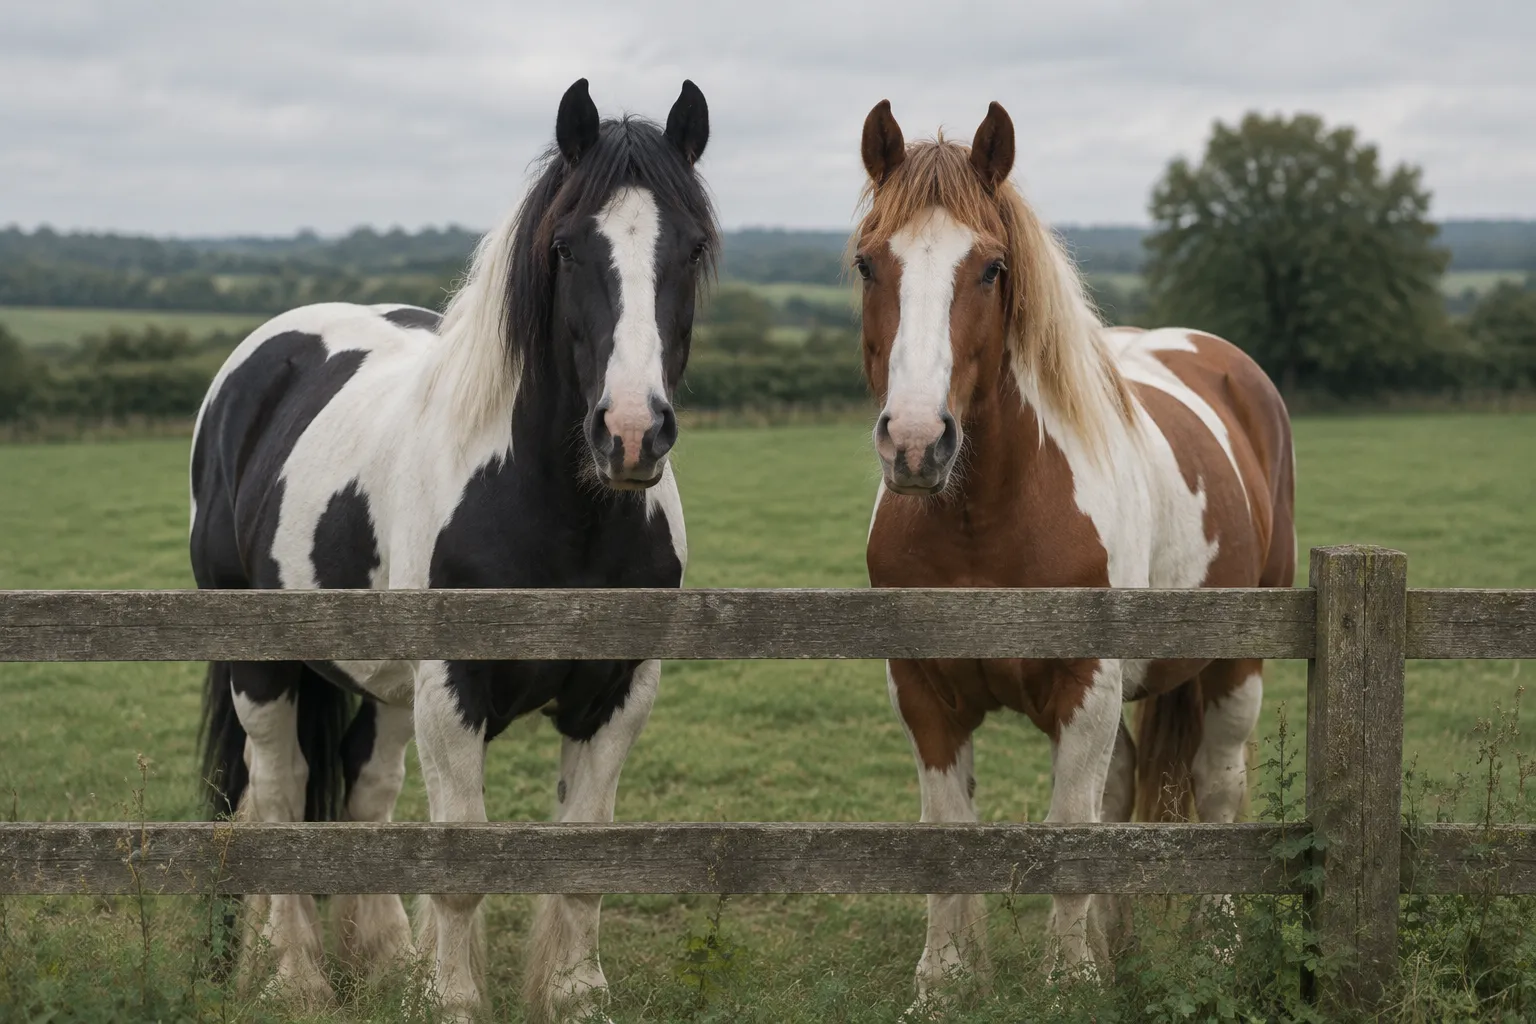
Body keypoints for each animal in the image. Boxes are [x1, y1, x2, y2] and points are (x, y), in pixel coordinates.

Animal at [191, 78, 716, 1021]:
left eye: (690, 248)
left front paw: (571, 996)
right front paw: (456, 1001)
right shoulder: (452, 691)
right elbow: (461, 864)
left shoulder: (620, 691)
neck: (560, 516)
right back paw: (297, 978)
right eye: (567, 248)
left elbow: (584, 859)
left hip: (386, 687)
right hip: (261, 660)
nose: (629, 433)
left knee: (362, 792)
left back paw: (382, 961)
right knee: (279, 797)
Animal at [854, 99, 1296, 1007]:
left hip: (1237, 661)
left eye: (991, 268)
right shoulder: (922, 691)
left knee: (1218, 785)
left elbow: (1068, 827)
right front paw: (947, 979)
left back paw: (1219, 945)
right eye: (867, 263)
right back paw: (1116, 946)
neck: (985, 522)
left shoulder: (1086, 687)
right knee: (1124, 788)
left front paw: (1066, 980)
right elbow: (950, 833)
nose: (915, 444)